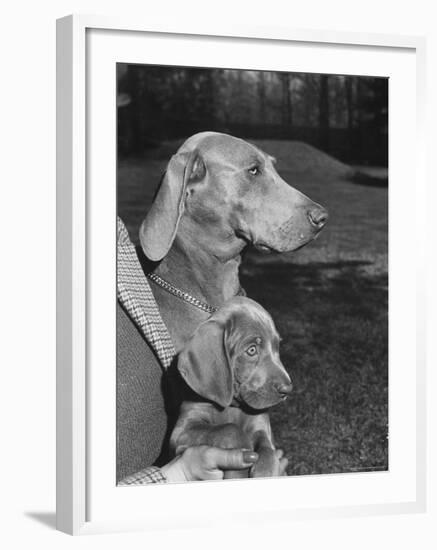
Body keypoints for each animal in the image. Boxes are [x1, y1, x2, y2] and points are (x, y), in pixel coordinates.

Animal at [170, 296, 292, 480]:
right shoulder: (182, 430)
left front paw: (265, 470)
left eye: (277, 346)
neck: (232, 406)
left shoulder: (262, 428)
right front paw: (242, 458)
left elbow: (268, 453)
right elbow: (230, 429)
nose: (287, 389)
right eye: (252, 350)